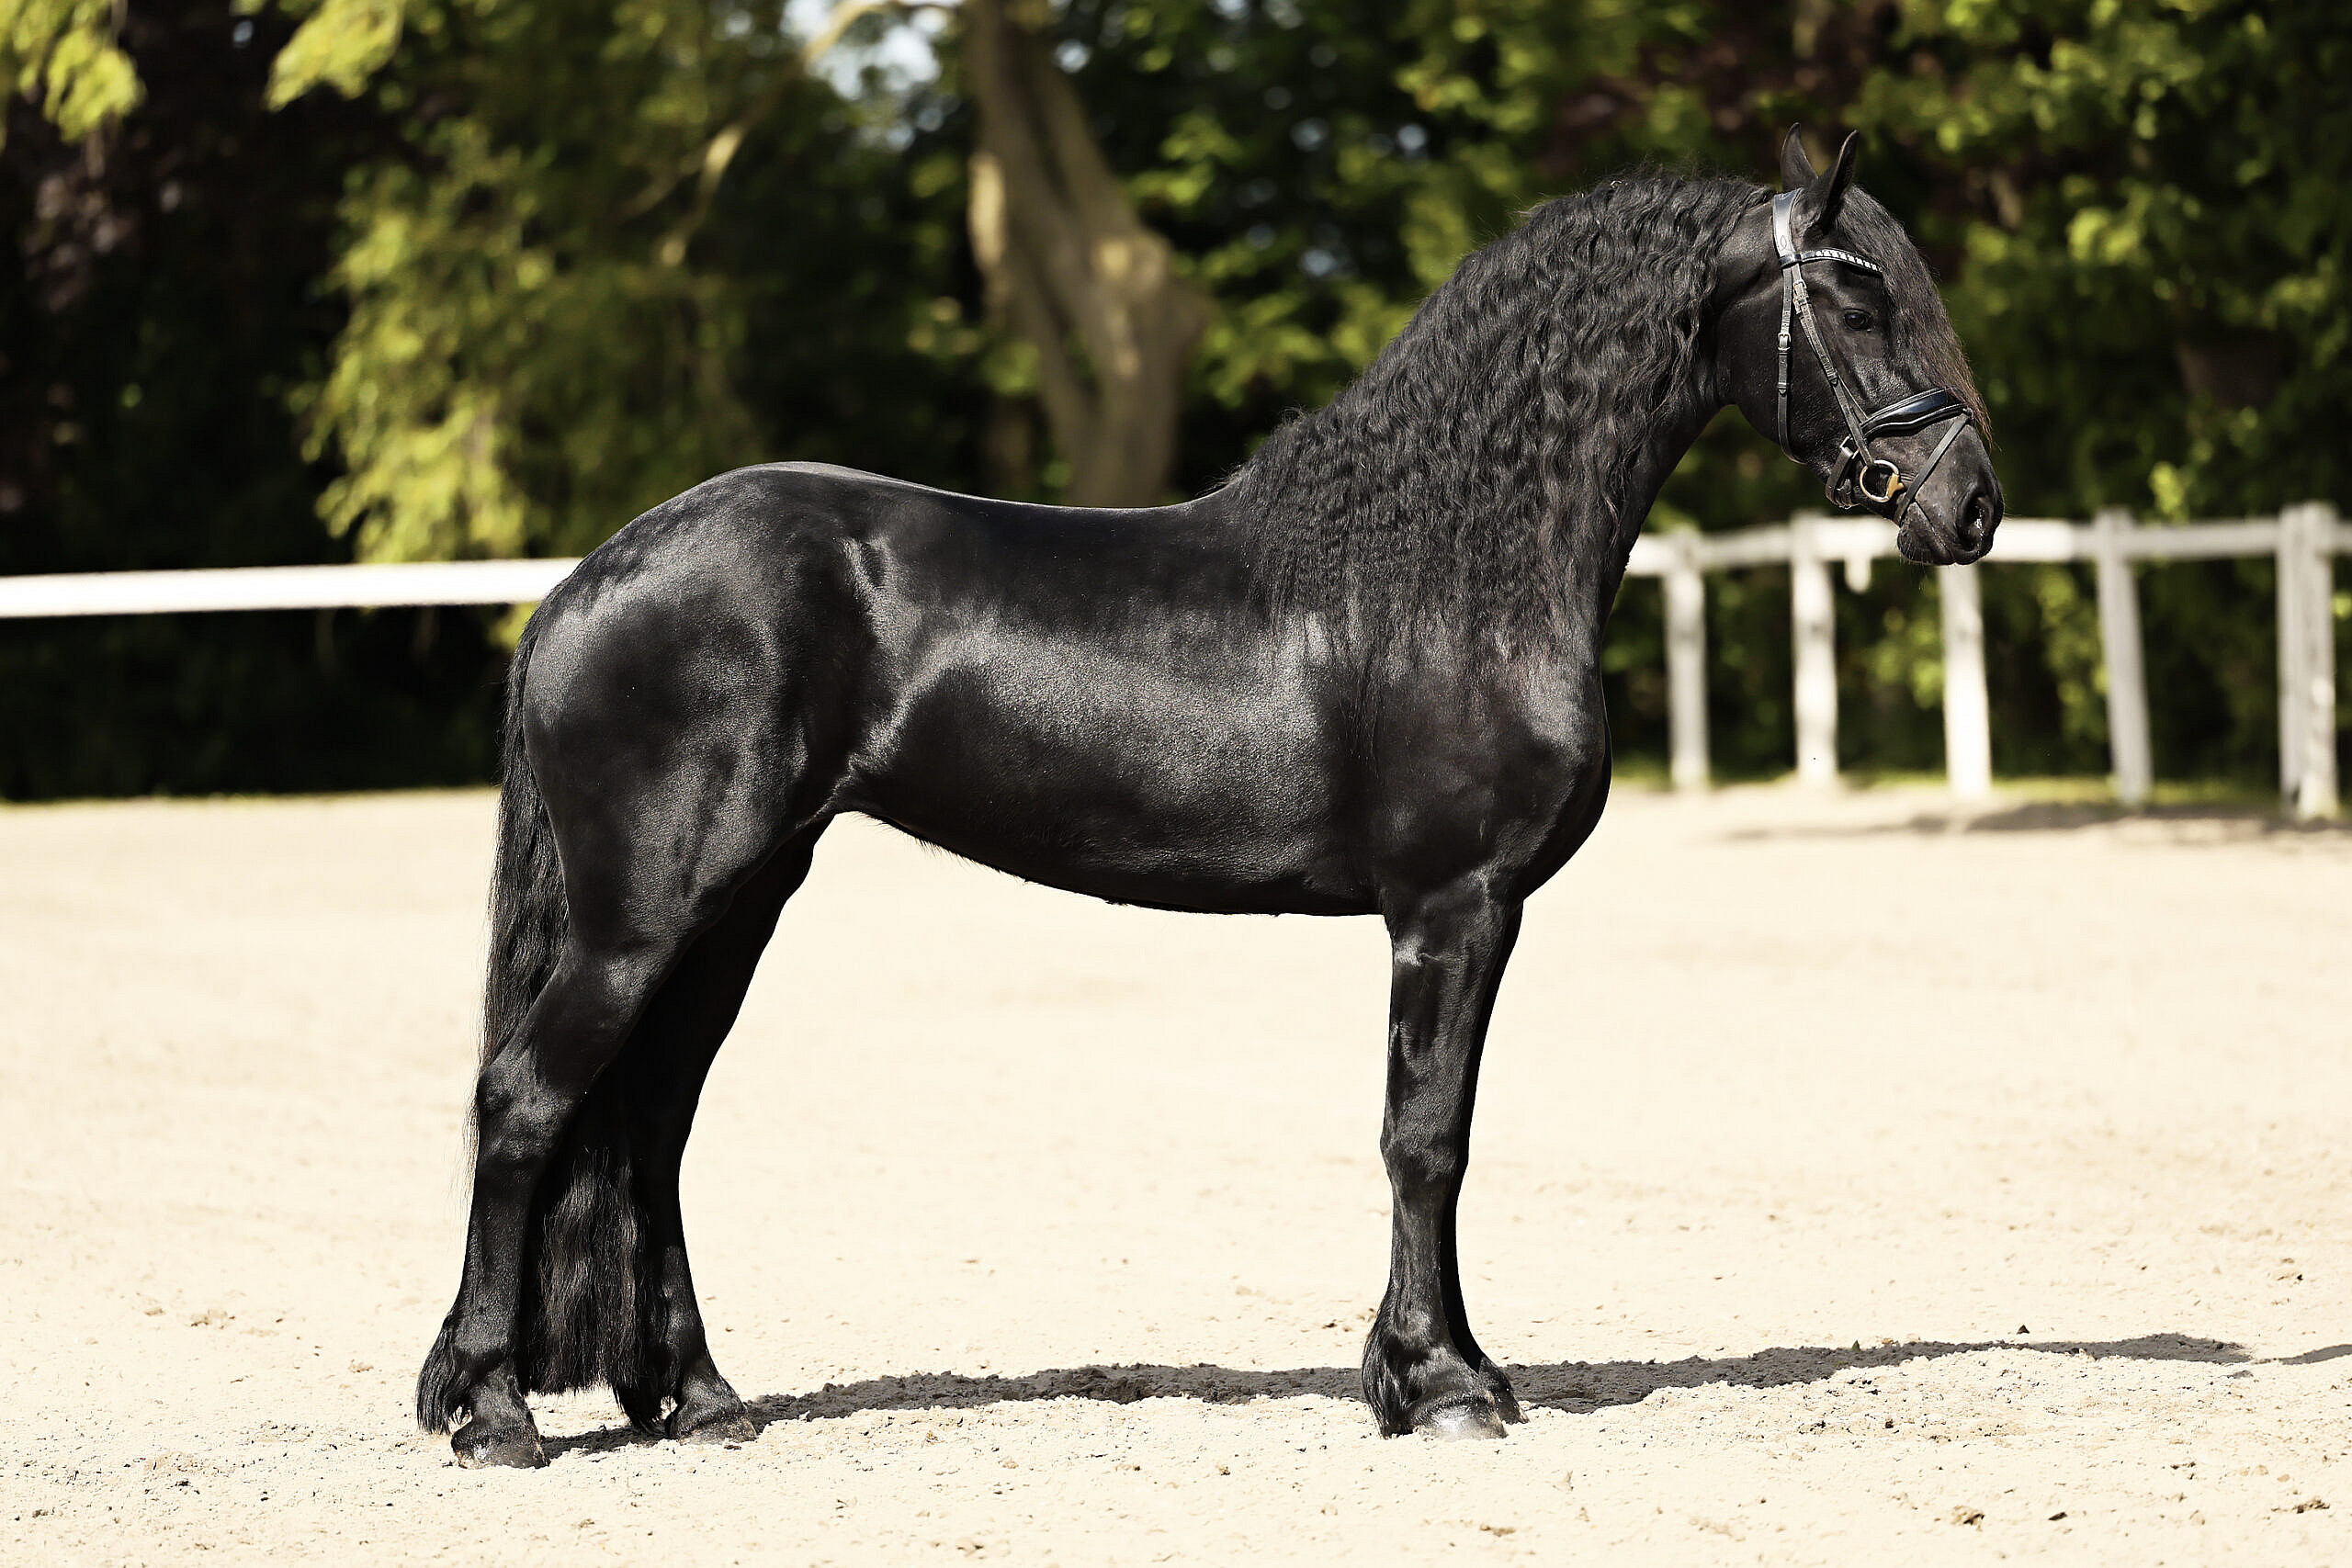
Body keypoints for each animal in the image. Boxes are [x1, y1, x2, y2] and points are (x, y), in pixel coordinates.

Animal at [416, 129, 2001, 1467]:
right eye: (1857, 293)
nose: (1967, 504)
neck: (1445, 568)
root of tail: (584, 583)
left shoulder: (1467, 914)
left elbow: (1443, 1137)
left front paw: (1453, 1369)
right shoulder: (1453, 905)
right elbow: (1426, 1137)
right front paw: (1436, 1384)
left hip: (737, 904)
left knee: (652, 1123)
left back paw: (694, 1394)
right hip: (646, 916)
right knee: (529, 1098)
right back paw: (493, 1409)